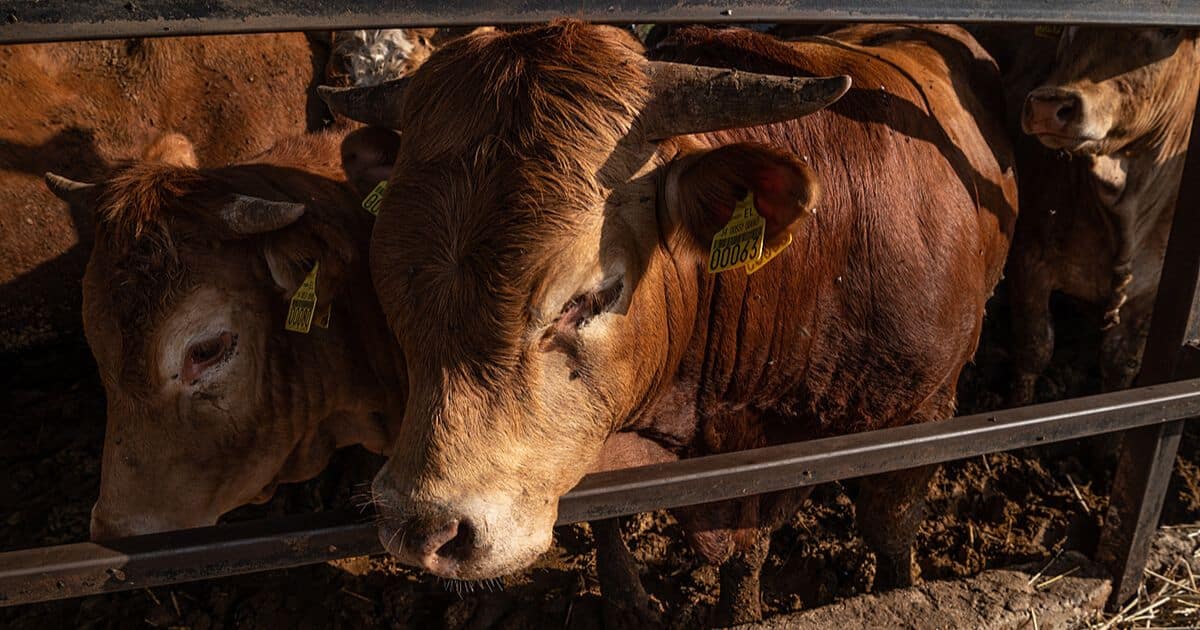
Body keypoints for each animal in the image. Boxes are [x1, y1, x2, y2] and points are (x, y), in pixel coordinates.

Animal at [324, 20, 1017, 624]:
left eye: (595, 295)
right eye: (390, 283)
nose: (423, 527)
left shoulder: (923, 413)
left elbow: (882, 532)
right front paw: (629, 603)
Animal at [998, 27, 1200, 403]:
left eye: (1167, 31)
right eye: (1070, 29)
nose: (1048, 105)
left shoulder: (1149, 295)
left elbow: (1119, 366)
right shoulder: (1027, 259)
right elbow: (1034, 347)